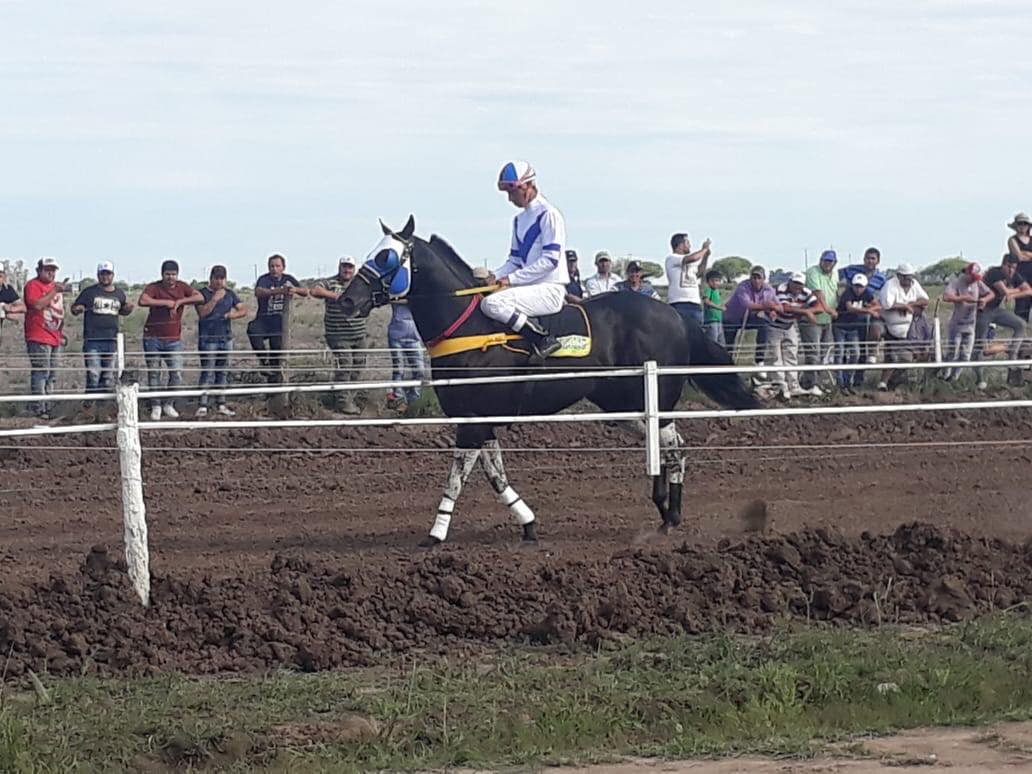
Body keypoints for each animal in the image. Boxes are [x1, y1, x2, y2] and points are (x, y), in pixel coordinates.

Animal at [338, 215, 759, 549]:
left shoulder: (473, 419)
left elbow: (458, 477)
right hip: (621, 405)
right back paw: (665, 507)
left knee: (675, 447)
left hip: (656, 399)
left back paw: (671, 514)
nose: (346, 301)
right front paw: (527, 522)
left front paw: (436, 532)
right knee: (669, 445)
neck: (469, 328)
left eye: (386, 257)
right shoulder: (480, 419)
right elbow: (494, 475)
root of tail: (675, 316)